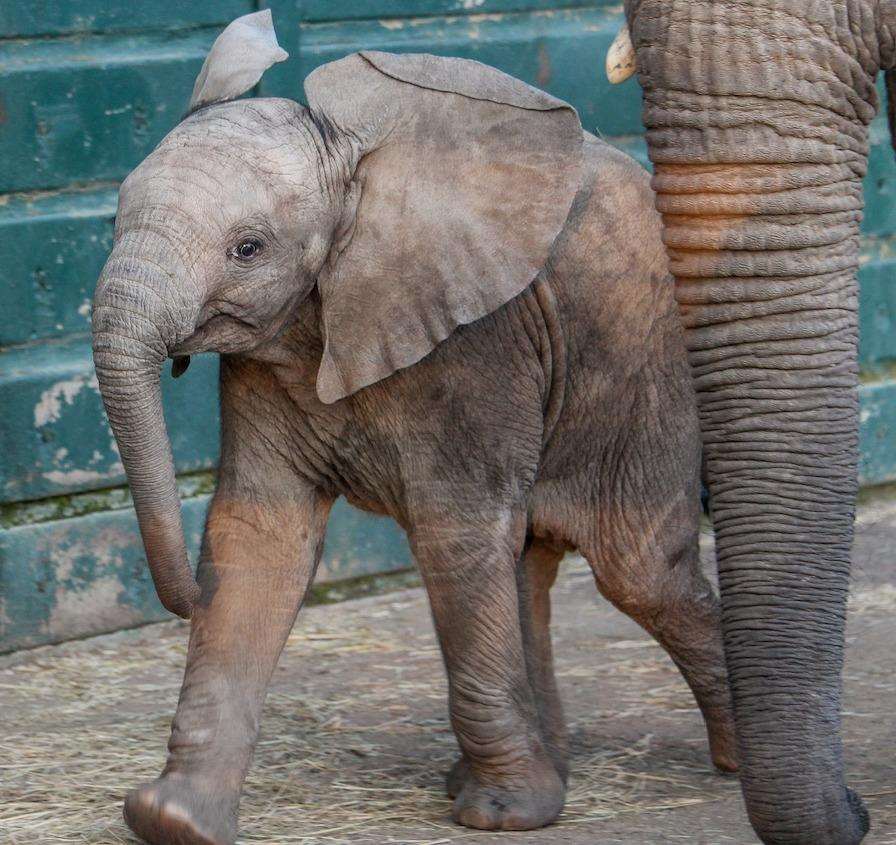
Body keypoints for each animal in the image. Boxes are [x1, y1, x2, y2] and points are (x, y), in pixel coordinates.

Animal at [93, 13, 736, 844]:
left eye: (248, 248)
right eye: (112, 220)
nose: (181, 600)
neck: (347, 161)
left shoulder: (479, 339)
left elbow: (452, 530)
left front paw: (502, 815)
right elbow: (257, 533)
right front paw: (174, 817)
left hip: (647, 360)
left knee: (642, 571)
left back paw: (734, 763)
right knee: (526, 566)